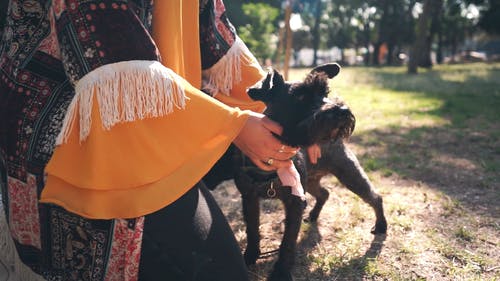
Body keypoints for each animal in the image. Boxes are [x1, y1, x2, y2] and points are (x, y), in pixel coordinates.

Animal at [203, 64, 386, 280]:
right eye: (299, 96)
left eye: (325, 93)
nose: (342, 110)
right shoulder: (249, 199)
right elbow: (252, 230)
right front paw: (250, 256)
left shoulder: (295, 203)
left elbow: (288, 242)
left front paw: (281, 271)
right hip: (312, 183)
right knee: (325, 193)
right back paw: (313, 216)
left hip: (349, 174)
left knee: (374, 197)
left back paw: (381, 226)